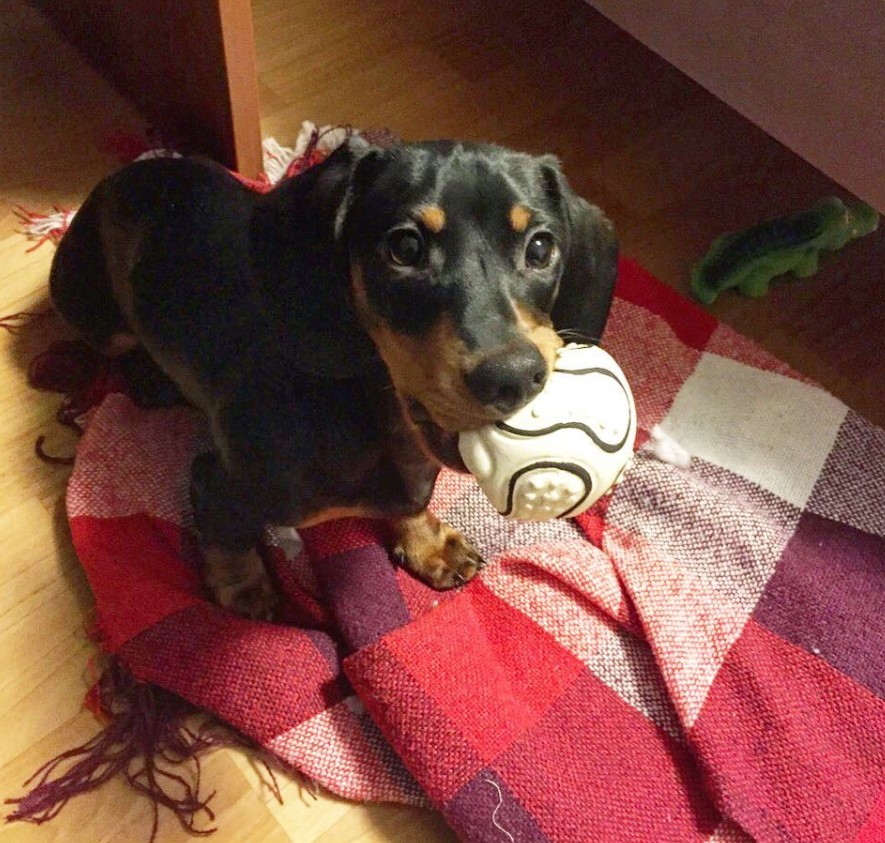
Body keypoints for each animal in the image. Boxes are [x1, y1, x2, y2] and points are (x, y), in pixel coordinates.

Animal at [50, 135, 616, 616]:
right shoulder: (221, 480)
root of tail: (119, 178)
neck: (375, 415)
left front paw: (429, 544)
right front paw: (244, 589)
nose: (514, 378)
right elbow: (228, 536)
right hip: (94, 311)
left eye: (540, 248)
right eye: (405, 247)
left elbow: (413, 500)